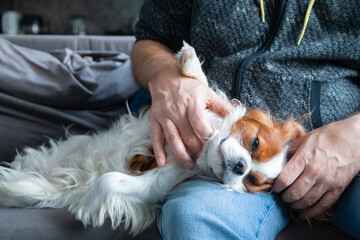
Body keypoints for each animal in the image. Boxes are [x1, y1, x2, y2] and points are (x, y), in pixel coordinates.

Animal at [0, 41, 306, 234]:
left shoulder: (162, 181)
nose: (241, 167)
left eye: (252, 180)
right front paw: (189, 61)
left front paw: (88, 204)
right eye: (254, 143)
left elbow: (112, 181)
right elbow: (203, 91)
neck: (203, 151)